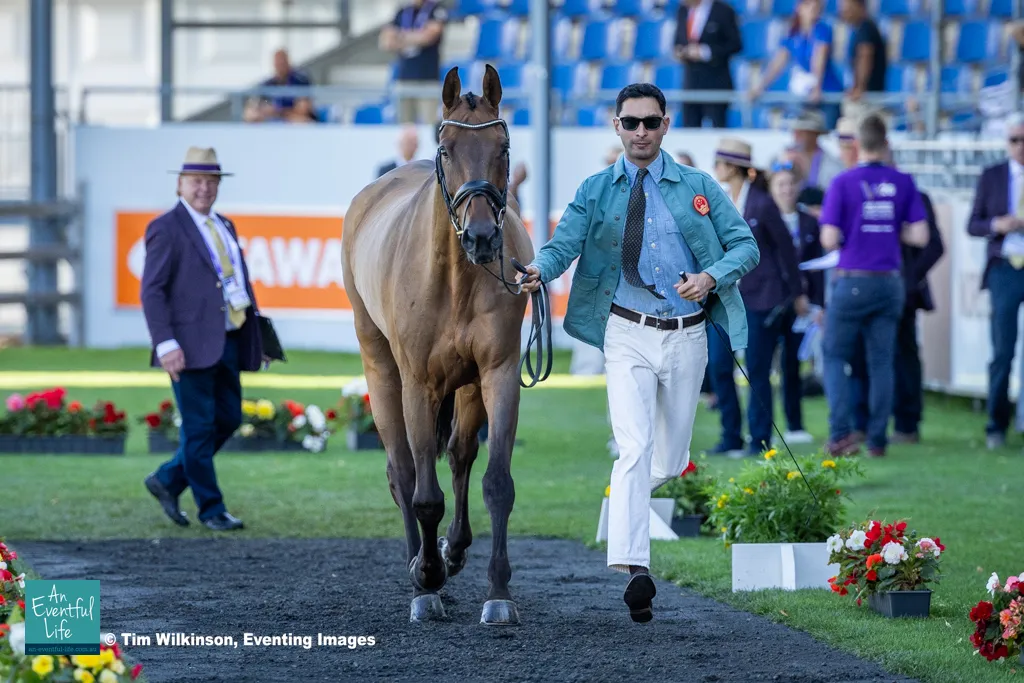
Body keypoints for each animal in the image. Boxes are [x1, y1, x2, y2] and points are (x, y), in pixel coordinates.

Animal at [341, 64, 535, 625]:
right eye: (447, 148)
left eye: (503, 146)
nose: (482, 237)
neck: (454, 279)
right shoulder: (418, 383)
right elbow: (423, 493)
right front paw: (426, 581)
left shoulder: (497, 374)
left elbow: (496, 483)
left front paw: (498, 593)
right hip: (382, 371)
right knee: (403, 471)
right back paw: (422, 568)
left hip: (466, 387)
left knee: (460, 454)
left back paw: (452, 550)